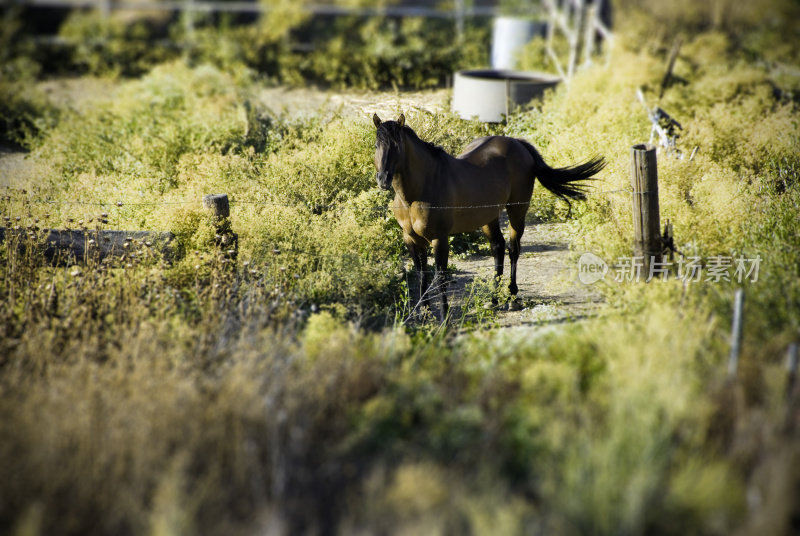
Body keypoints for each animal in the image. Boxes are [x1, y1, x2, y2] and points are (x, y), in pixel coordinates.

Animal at [372, 111, 604, 316]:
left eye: (397, 146)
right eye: (376, 145)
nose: (383, 179)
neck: (417, 192)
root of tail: (517, 144)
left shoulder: (440, 239)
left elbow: (441, 278)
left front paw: (444, 318)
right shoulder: (411, 239)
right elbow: (422, 276)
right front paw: (424, 314)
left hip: (517, 211)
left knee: (513, 249)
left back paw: (512, 298)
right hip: (488, 217)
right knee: (497, 247)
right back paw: (492, 300)